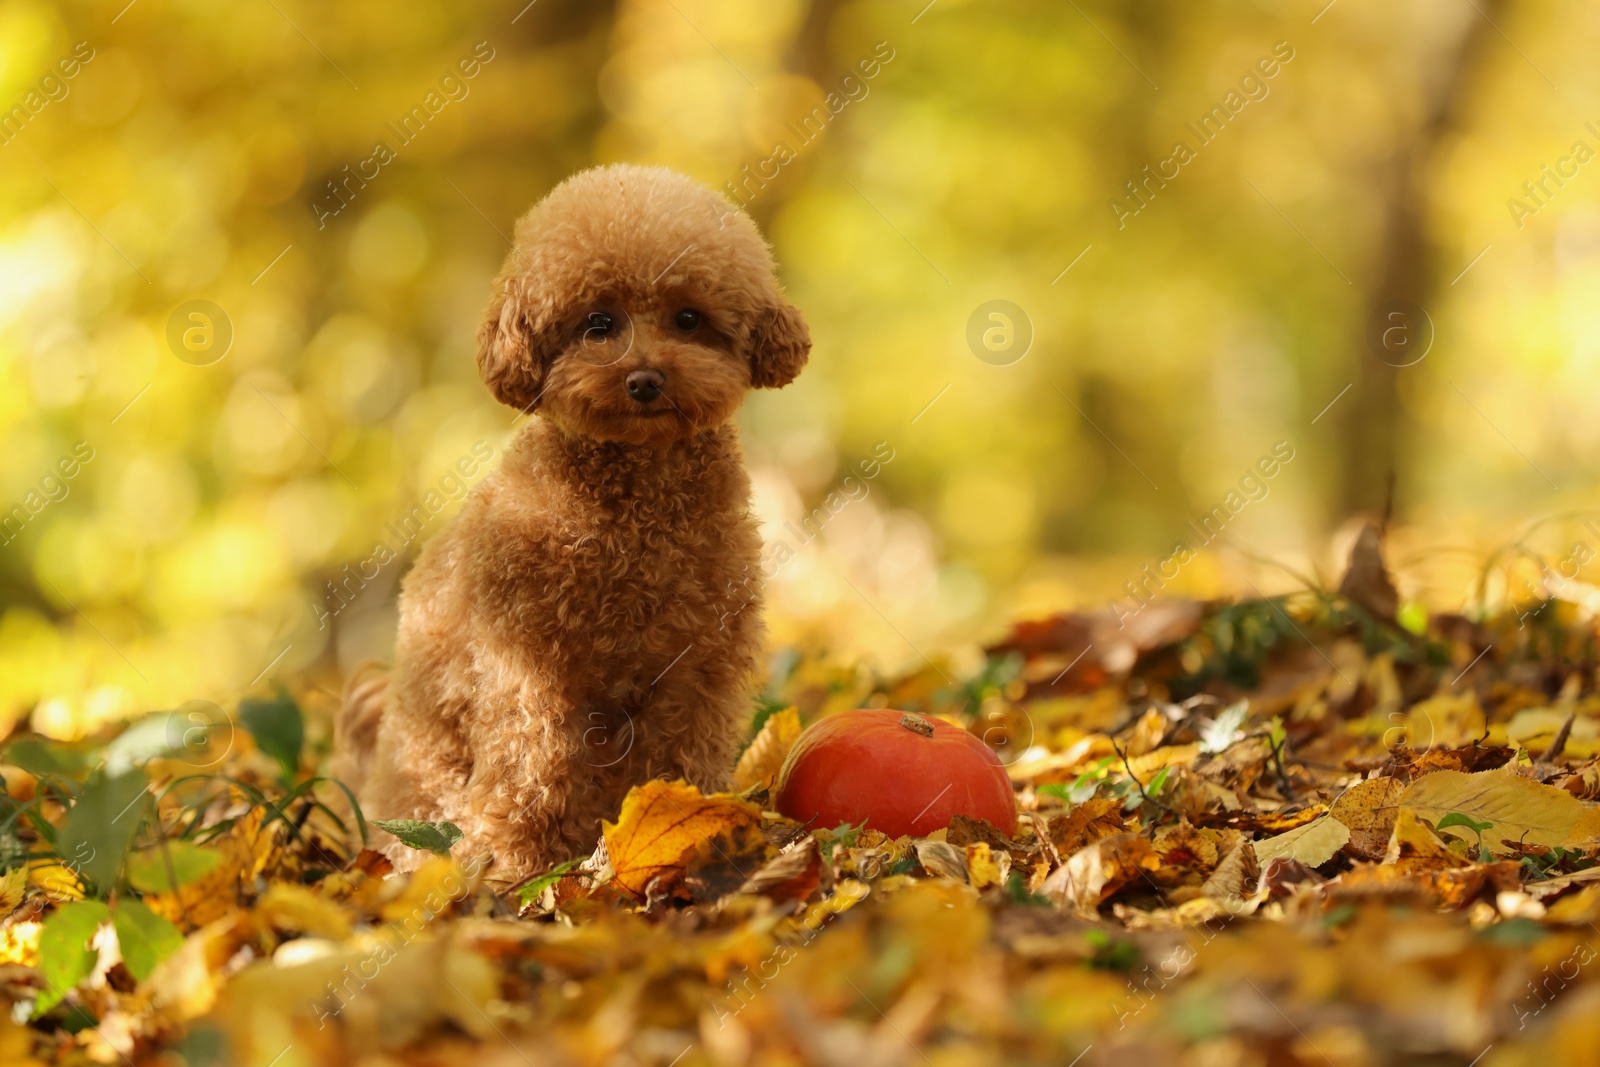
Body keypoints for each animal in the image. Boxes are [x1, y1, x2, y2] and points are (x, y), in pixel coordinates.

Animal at [337, 160, 812, 876]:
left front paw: (682, 826)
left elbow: (682, 750)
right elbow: (530, 762)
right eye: (597, 323)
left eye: (689, 318)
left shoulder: (699, 661)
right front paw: (519, 863)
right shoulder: (527, 663)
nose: (644, 379)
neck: (637, 510)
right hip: (426, 769)